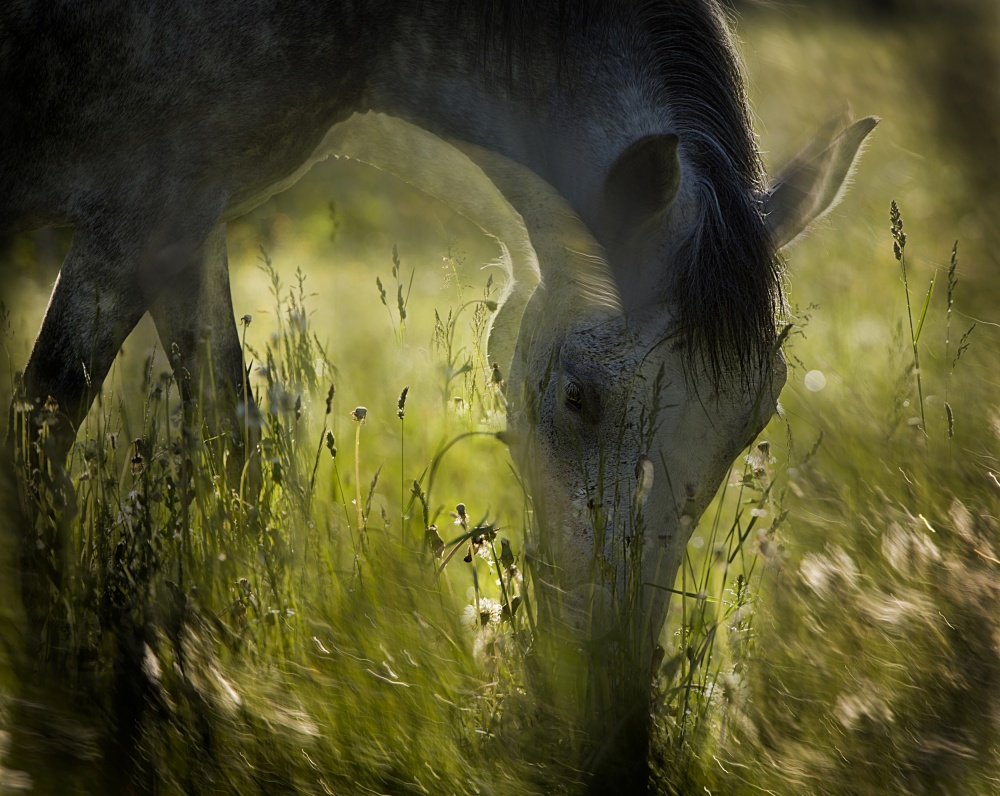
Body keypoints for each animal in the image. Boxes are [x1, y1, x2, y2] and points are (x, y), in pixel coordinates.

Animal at [1, 0, 876, 788]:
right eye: (578, 398)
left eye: (753, 420)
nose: (612, 733)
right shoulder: (140, 214)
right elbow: (44, 437)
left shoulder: (187, 228)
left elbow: (232, 457)